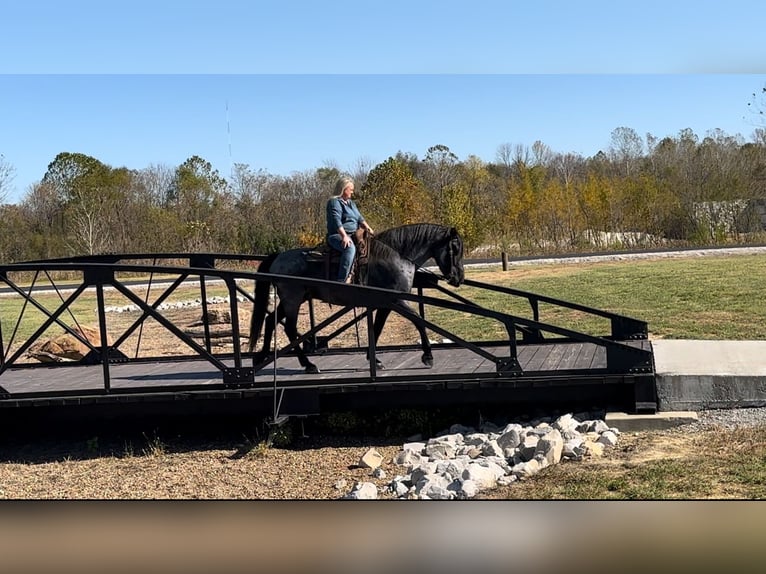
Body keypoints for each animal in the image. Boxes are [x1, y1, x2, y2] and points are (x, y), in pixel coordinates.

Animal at [250, 223, 468, 376]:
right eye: (455, 248)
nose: (459, 277)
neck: (396, 257)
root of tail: (278, 257)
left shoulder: (385, 304)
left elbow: (377, 328)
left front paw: (375, 360)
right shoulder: (397, 301)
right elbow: (418, 321)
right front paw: (428, 356)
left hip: (292, 300)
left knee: (269, 321)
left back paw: (261, 357)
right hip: (292, 300)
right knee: (289, 328)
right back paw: (308, 365)